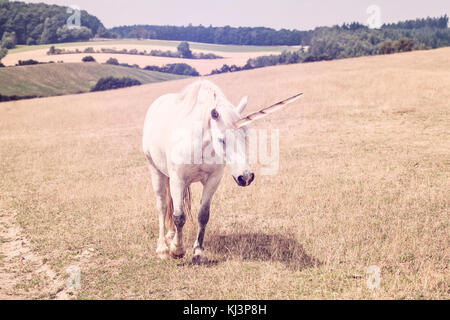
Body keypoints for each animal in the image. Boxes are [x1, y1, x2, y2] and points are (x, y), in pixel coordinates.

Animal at [142, 79, 300, 264]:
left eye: (245, 136)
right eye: (221, 140)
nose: (246, 177)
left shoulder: (213, 179)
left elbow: (203, 215)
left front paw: (198, 252)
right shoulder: (177, 179)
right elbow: (179, 216)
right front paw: (177, 250)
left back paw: (171, 235)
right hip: (155, 171)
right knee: (162, 206)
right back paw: (162, 248)